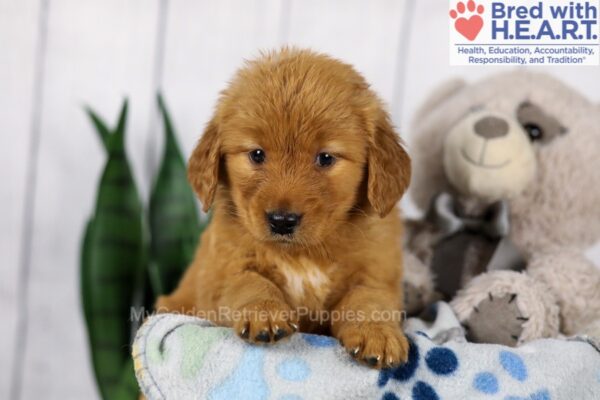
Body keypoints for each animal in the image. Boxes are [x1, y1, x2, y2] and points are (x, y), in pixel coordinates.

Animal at [157, 48, 412, 370]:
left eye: (325, 158)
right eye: (256, 154)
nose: (281, 221)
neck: (302, 255)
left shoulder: (379, 276)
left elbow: (368, 300)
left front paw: (376, 333)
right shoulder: (219, 273)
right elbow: (249, 282)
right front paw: (264, 312)